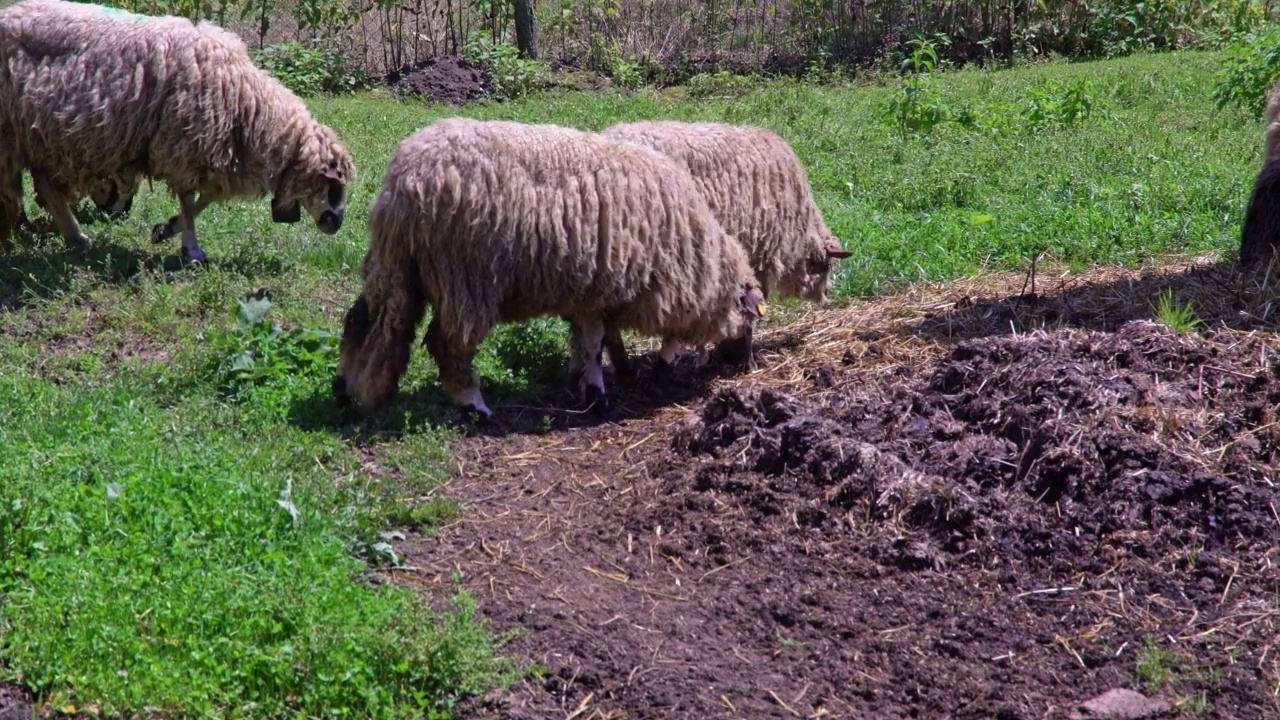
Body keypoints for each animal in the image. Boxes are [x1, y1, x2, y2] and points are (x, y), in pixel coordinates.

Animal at [0, 0, 355, 263]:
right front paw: (191, 249)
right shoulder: (184, 143)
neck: (247, 104)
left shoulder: (205, 150)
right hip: (17, 133)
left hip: (42, 137)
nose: (337, 225)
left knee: (46, 184)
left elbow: (205, 197)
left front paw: (166, 230)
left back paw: (74, 237)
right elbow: (190, 199)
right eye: (333, 185)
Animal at [332, 117, 768, 417]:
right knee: (447, 345)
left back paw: (346, 389)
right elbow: (594, 342)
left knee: (361, 319)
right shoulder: (604, 287)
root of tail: (403, 180)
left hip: (395, 264)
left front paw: (584, 381)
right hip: (464, 277)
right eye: (750, 319)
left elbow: (588, 340)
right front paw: (596, 394)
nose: (745, 366)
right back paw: (474, 407)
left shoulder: (590, 291)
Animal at [596, 116, 849, 376]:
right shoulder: (755, 254)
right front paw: (742, 356)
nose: (827, 295)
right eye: (828, 266)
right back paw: (626, 370)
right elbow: (751, 305)